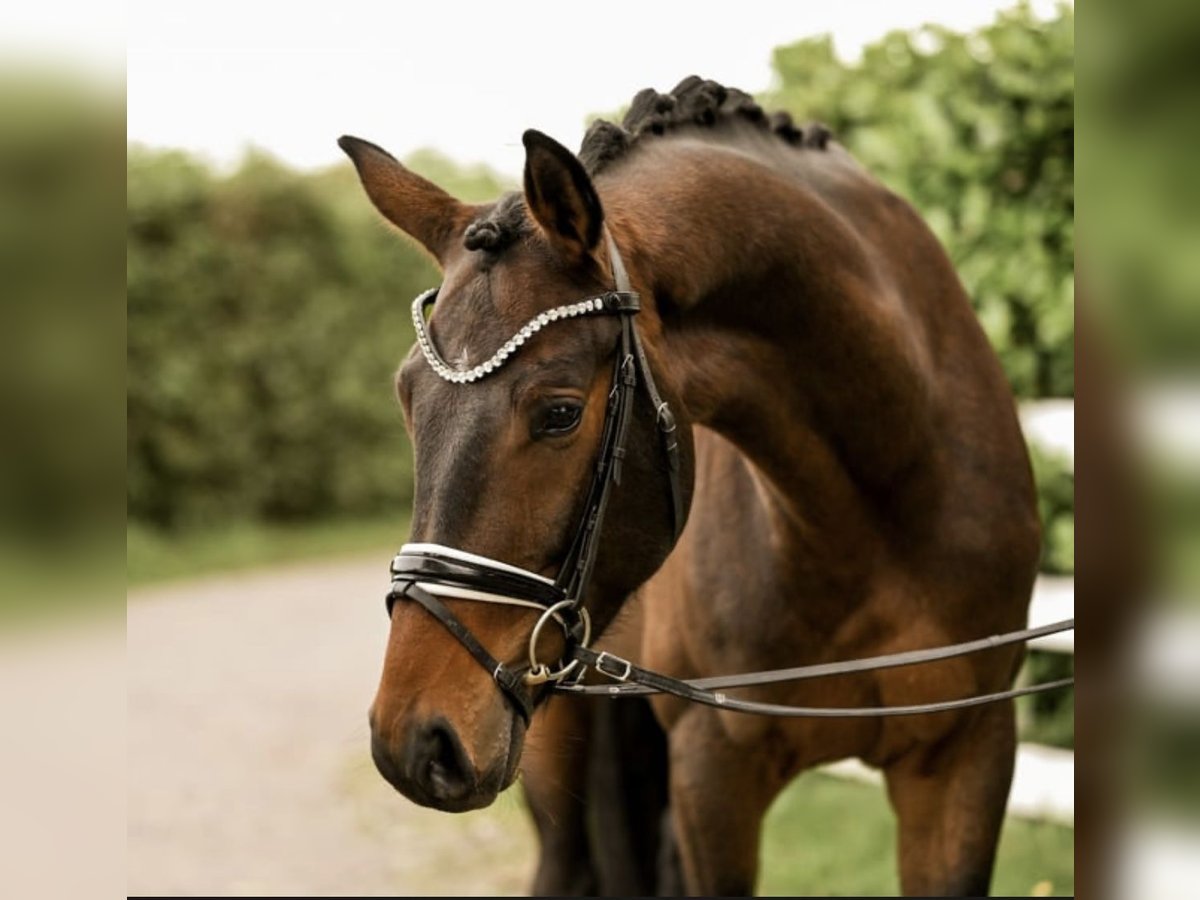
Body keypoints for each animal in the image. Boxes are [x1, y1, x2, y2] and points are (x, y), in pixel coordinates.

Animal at [340, 75, 1041, 897]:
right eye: (406, 399)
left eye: (559, 412)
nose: (415, 739)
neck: (879, 517)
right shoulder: (713, 766)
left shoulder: (967, 754)